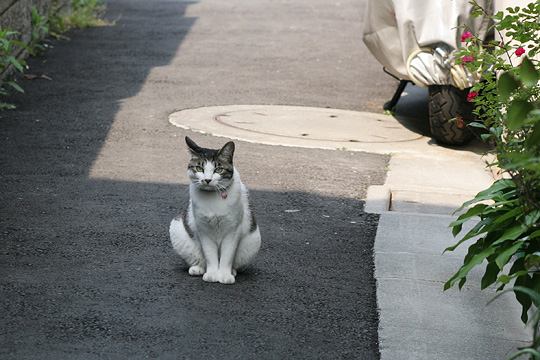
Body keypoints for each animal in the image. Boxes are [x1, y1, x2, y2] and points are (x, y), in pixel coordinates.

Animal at [169, 136, 262, 284]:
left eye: (218, 169)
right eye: (199, 168)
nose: (207, 180)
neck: (212, 198)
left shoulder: (232, 230)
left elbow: (227, 255)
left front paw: (224, 275)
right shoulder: (204, 230)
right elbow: (210, 254)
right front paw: (212, 274)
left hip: (253, 241)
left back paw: (232, 271)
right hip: (177, 229)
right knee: (199, 259)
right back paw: (198, 269)